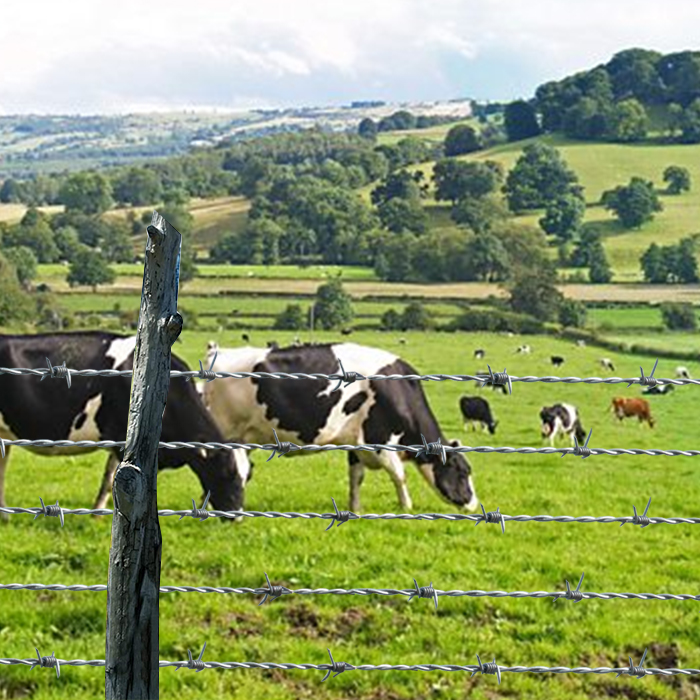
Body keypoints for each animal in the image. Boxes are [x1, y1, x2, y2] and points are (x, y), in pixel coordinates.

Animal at [0, 330, 246, 516]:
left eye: (248, 476)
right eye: (227, 472)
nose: (237, 515)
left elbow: (110, 477)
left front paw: (98, 512)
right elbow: (116, 478)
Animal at [200, 344, 478, 516]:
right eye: (463, 472)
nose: (474, 504)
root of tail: (218, 354)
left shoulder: (357, 442)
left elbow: (356, 478)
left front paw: (355, 508)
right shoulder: (380, 440)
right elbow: (400, 475)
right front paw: (406, 506)